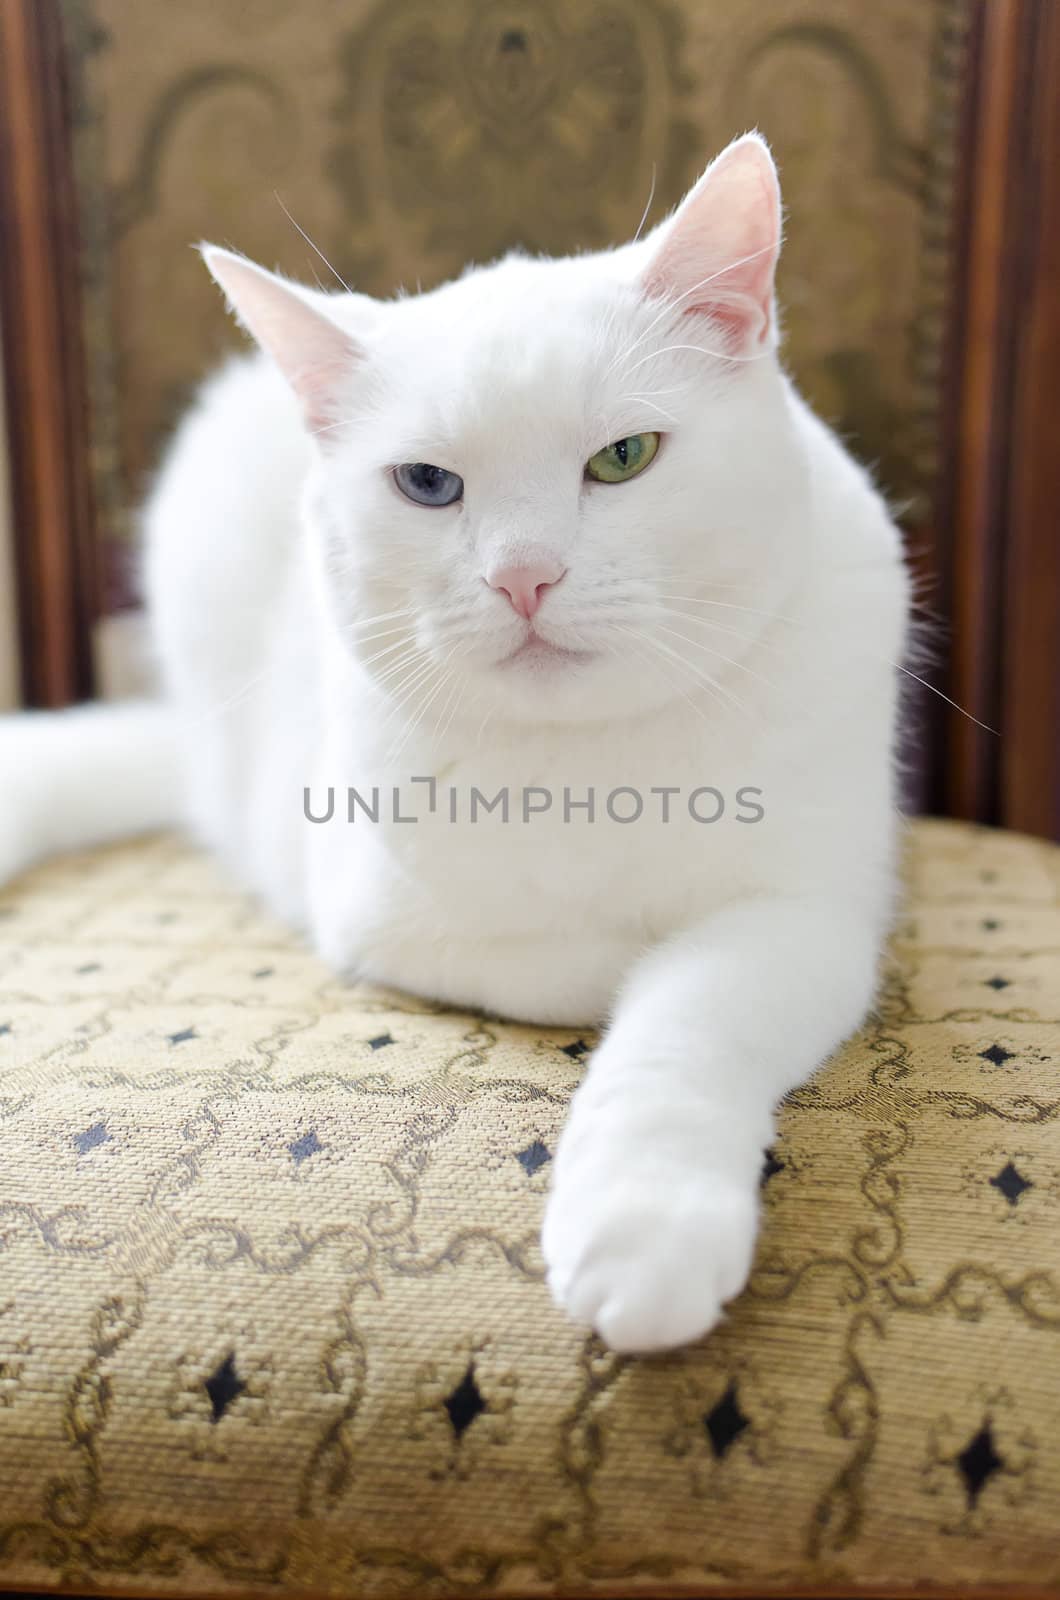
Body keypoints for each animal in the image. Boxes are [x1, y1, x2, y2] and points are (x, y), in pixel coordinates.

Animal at [0, 140, 915, 1350]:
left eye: (624, 457)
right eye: (429, 484)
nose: (524, 576)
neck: (592, 767)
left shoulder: (810, 916)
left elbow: (687, 1011)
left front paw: (645, 1226)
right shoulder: (380, 916)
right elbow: (605, 967)